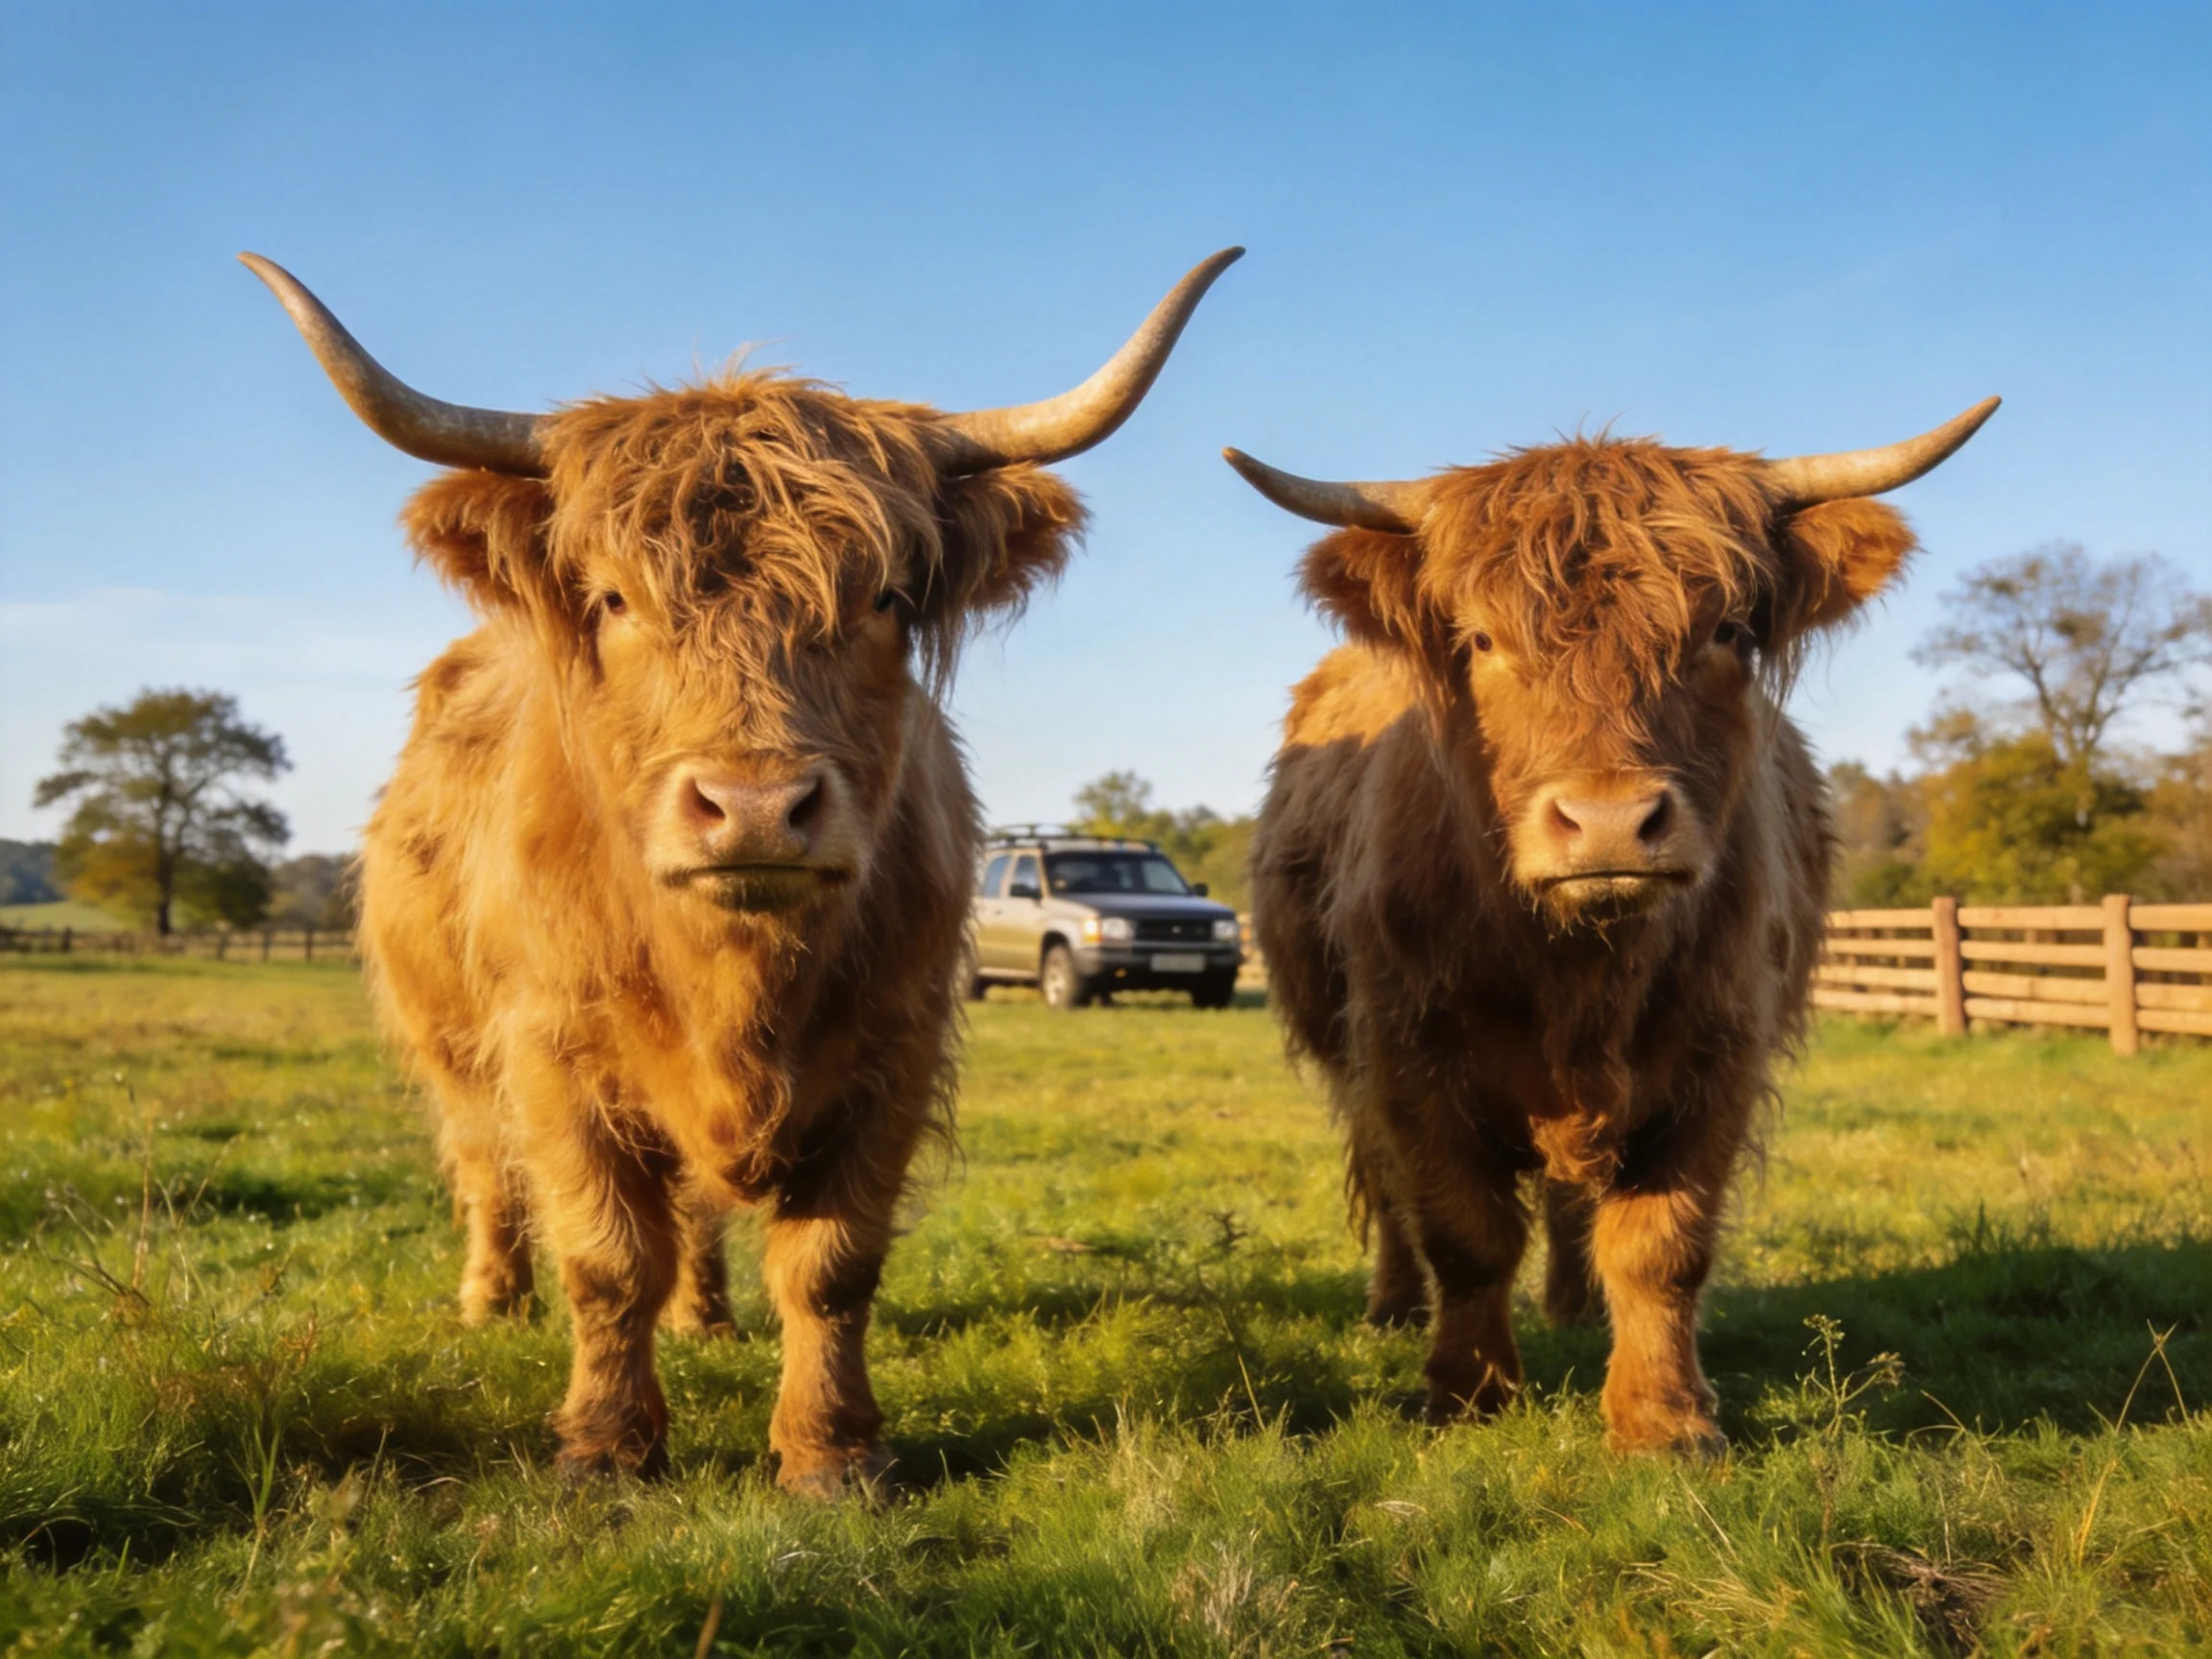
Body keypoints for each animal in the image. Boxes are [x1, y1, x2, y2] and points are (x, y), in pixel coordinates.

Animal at [244, 247, 1239, 1491]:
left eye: (884, 598)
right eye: (614, 598)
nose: (757, 807)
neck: (736, 981)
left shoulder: (898, 1040)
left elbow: (831, 1265)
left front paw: (831, 1453)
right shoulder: (550, 1046)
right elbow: (605, 1256)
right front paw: (606, 1447)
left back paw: (706, 1318)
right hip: (451, 1041)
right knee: (485, 1167)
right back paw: (492, 1299)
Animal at [1224, 398, 1995, 1454]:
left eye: (1727, 630)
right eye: (1478, 640)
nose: (1609, 822)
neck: (1579, 969)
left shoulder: (1720, 1052)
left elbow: (1661, 1243)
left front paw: (1663, 1418)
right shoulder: (1409, 1051)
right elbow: (1464, 1233)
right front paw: (1465, 1394)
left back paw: (1576, 1310)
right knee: (1385, 1181)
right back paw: (1393, 1305)